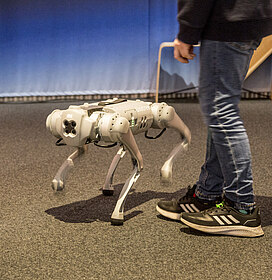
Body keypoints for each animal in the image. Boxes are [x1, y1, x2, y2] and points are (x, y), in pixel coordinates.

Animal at [46, 98, 191, 225]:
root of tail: (147, 104)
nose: (69, 125)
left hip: (160, 117)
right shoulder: (118, 134)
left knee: (178, 125)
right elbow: (82, 151)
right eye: (67, 124)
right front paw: (58, 181)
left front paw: (118, 214)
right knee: (120, 152)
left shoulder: (121, 127)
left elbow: (139, 163)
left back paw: (168, 167)